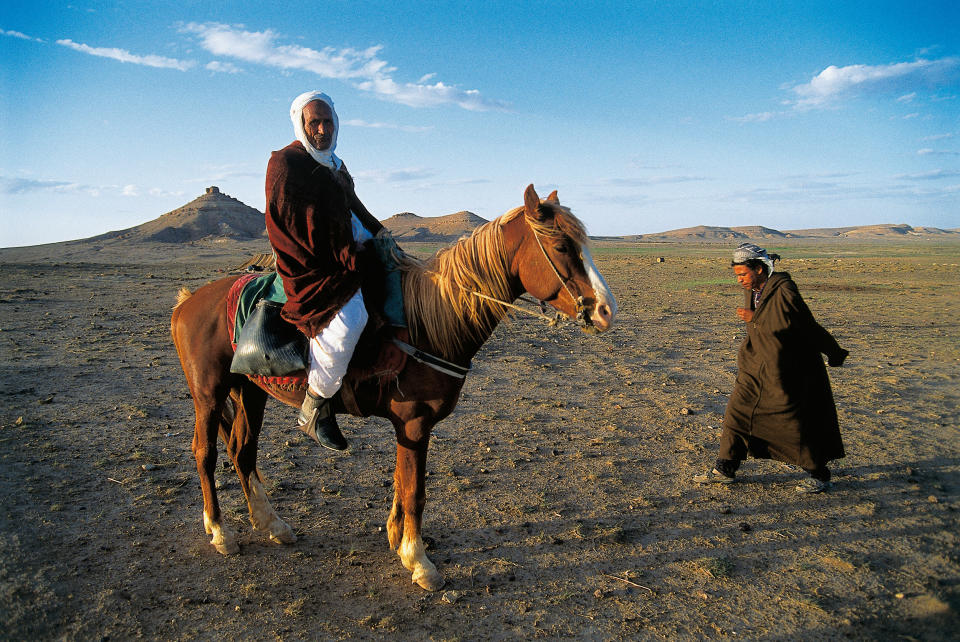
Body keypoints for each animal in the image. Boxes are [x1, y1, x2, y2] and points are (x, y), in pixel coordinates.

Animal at [171, 182, 616, 588]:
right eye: (561, 246)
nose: (606, 310)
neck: (432, 323)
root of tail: (188, 301)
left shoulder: (409, 427)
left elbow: (402, 484)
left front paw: (397, 540)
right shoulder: (415, 423)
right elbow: (415, 490)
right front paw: (418, 560)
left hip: (250, 391)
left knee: (242, 450)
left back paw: (272, 524)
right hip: (208, 394)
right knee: (206, 453)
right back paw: (220, 532)